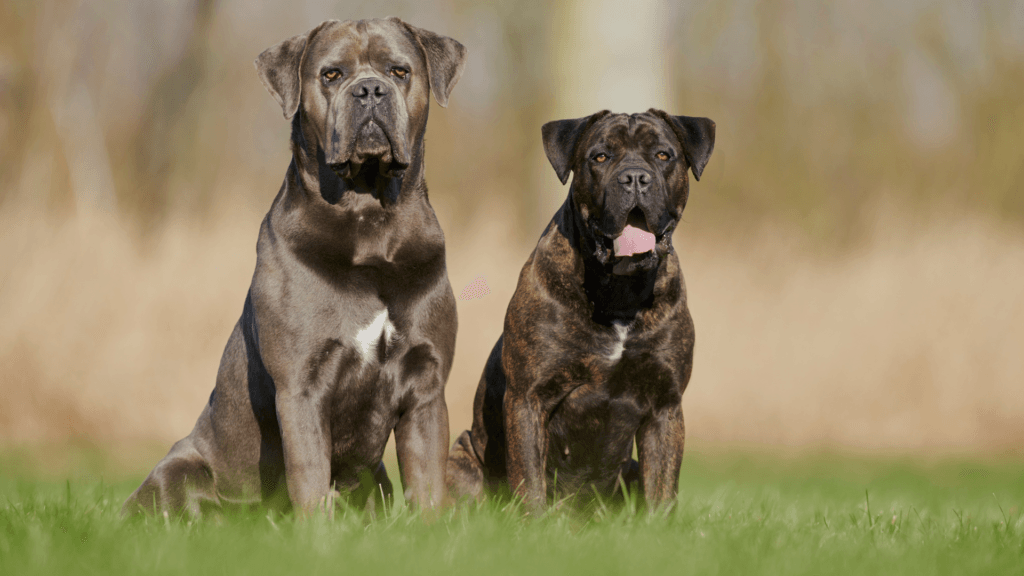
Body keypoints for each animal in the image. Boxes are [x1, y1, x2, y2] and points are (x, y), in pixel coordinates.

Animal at [121, 19, 466, 516]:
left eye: (399, 71)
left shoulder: (426, 386)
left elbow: (428, 482)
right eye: (331, 74)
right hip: (179, 469)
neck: (369, 218)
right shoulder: (302, 384)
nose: (370, 91)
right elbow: (309, 474)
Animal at [444, 108, 716, 510]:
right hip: (460, 458)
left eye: (663, 155)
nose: (635, 177)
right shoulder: (528, 399)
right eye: (600, 157)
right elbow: (530, 480)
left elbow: (662, 489)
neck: (620, 292)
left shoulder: (665, 406)